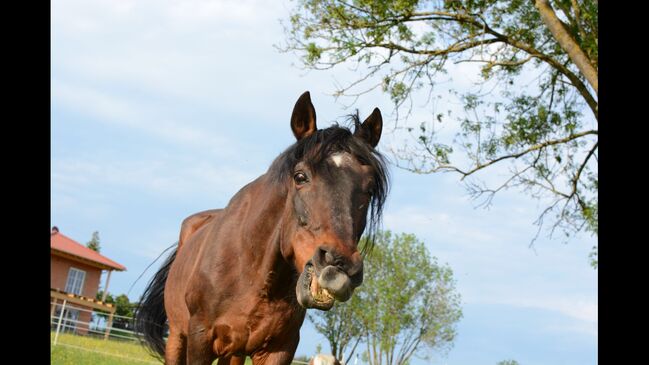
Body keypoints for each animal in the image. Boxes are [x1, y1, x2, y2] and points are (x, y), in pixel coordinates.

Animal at [136, 91, 388, 364]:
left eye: (369, 189)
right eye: (300, 177)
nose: (337, 266)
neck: (251, 271)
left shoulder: (280, 348)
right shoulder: (200, 339)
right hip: (177, 337)